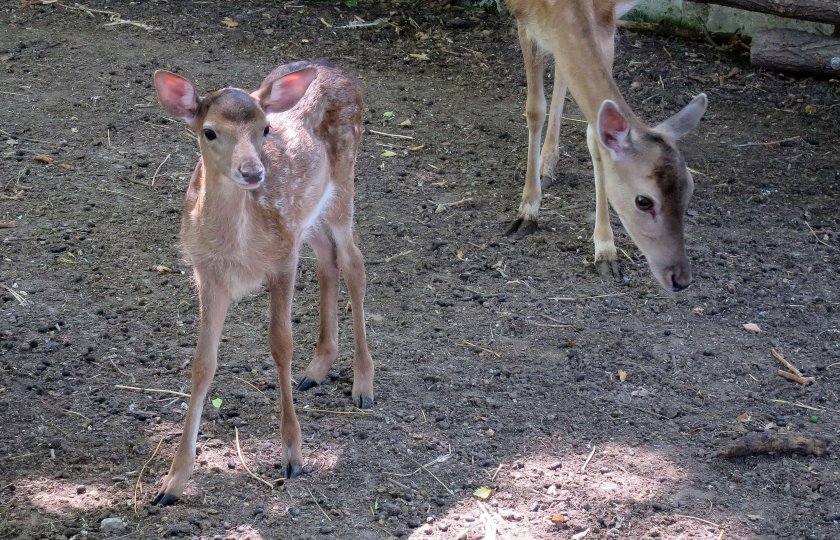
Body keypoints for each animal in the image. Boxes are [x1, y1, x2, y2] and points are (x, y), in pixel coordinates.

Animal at [151, 62, 374, 506]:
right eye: (210, 131)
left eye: (265, 128)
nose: (253, 172)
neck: (236, 246)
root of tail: (341, 74)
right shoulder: (208, 275)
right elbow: (203, 363)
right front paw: (172, 481)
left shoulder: (282, 259)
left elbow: (280, 344)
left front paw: (292, 455)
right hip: (309, 215)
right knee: (328, 259)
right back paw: (317, 368)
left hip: (343, 185)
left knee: (354, 263)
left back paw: (363, 383)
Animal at [506, 0, 708, 292]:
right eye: (643, 201)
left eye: (690, 189)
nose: (680, 279)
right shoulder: (522, 19)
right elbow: (535, 110)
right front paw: (527, 212)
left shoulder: (605, 20)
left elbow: (595, 134)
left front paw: (605, 251)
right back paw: (546, 166)